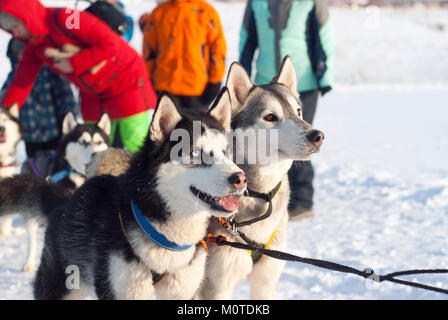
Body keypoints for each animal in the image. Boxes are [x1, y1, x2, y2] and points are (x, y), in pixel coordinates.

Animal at [201, 56, 324, 298]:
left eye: (298, 111)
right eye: (270, 117)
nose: (318, 136)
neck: (259, 193)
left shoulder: (265, 281)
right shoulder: (216, 287)